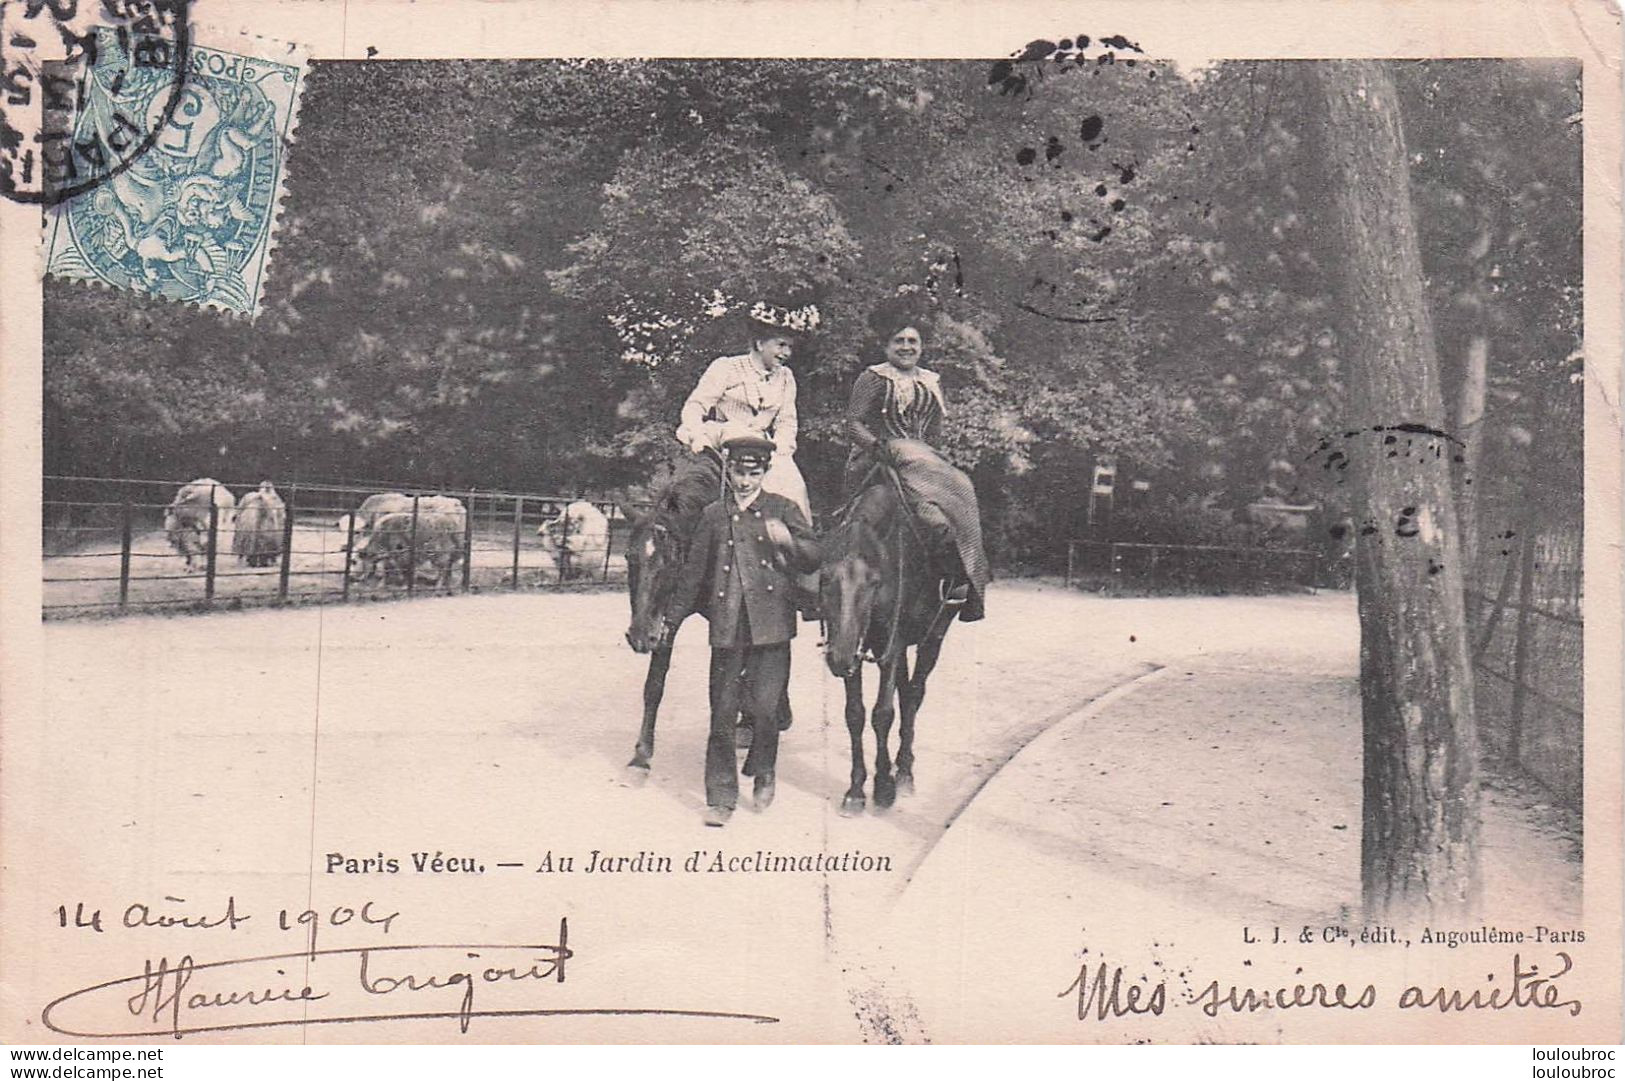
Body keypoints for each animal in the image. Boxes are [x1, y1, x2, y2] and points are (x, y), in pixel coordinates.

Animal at [819, 468, 955, 812]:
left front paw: (883, 787)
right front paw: (856, 789)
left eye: (873, 582)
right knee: (905, 693)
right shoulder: (861, 651)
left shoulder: (890, 648)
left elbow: (883, 714)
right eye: (824, 578)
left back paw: (904, 771)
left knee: (914, 695)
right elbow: (855, 714)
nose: (838, 658)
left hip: (933, 637)